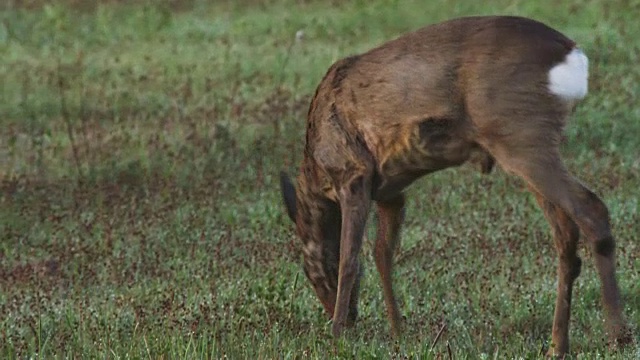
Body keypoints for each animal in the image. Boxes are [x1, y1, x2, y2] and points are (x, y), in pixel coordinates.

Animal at [278, 14, 632, 358]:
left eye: (309, 270)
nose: (350, 317)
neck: (316, 168)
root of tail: (573, 55)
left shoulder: (354, 173)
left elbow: (349, 258)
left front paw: (337, 335)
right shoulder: (391, 191)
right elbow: (382, 253)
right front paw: (397, 331)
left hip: (519, 133)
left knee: (591, 208)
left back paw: (618, 336)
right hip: (528, 142)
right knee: (566, 234)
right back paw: (558, 345)